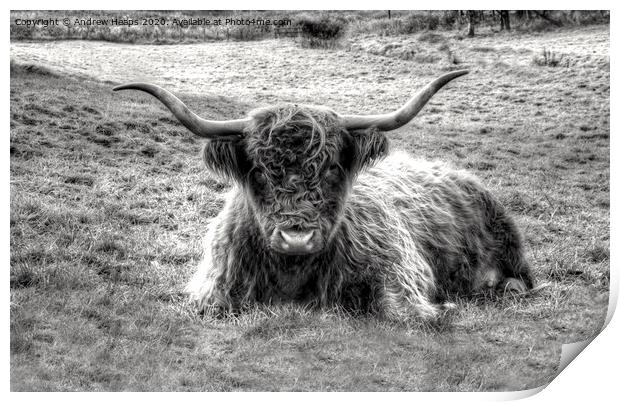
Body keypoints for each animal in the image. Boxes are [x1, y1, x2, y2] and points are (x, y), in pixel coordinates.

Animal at [115, 69, 532, 320]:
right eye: (259, 170)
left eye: (331, 166)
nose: (296, 237)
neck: (292, 276)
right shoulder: (213, 284)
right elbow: (210, 306)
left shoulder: (402, 269)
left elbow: (407, 313)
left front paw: (443, 307)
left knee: (521, 279)